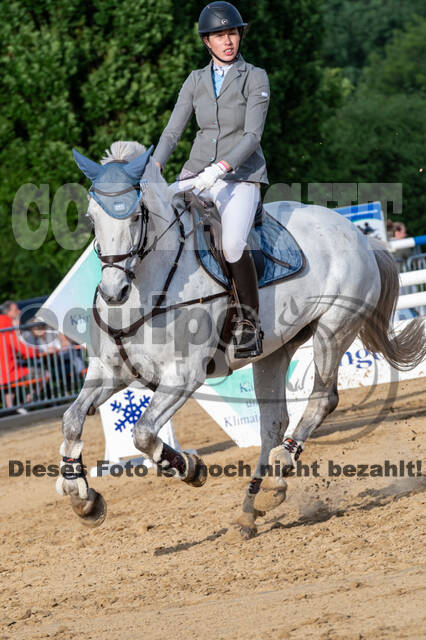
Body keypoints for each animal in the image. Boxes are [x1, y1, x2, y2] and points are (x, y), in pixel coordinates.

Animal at [55, 141, 425, 538]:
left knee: (322, 400)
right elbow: (72, 419)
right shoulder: (110, 372)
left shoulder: (183, 376)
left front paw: (191, 468)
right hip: (277, 351)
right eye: (92, 218)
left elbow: (142, 434)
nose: (113, 292)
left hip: (333, 330)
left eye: (137, 217)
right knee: (273, 423)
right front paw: (82, 497)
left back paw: (281, 466)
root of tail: (359, 236)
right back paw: (255, 502)